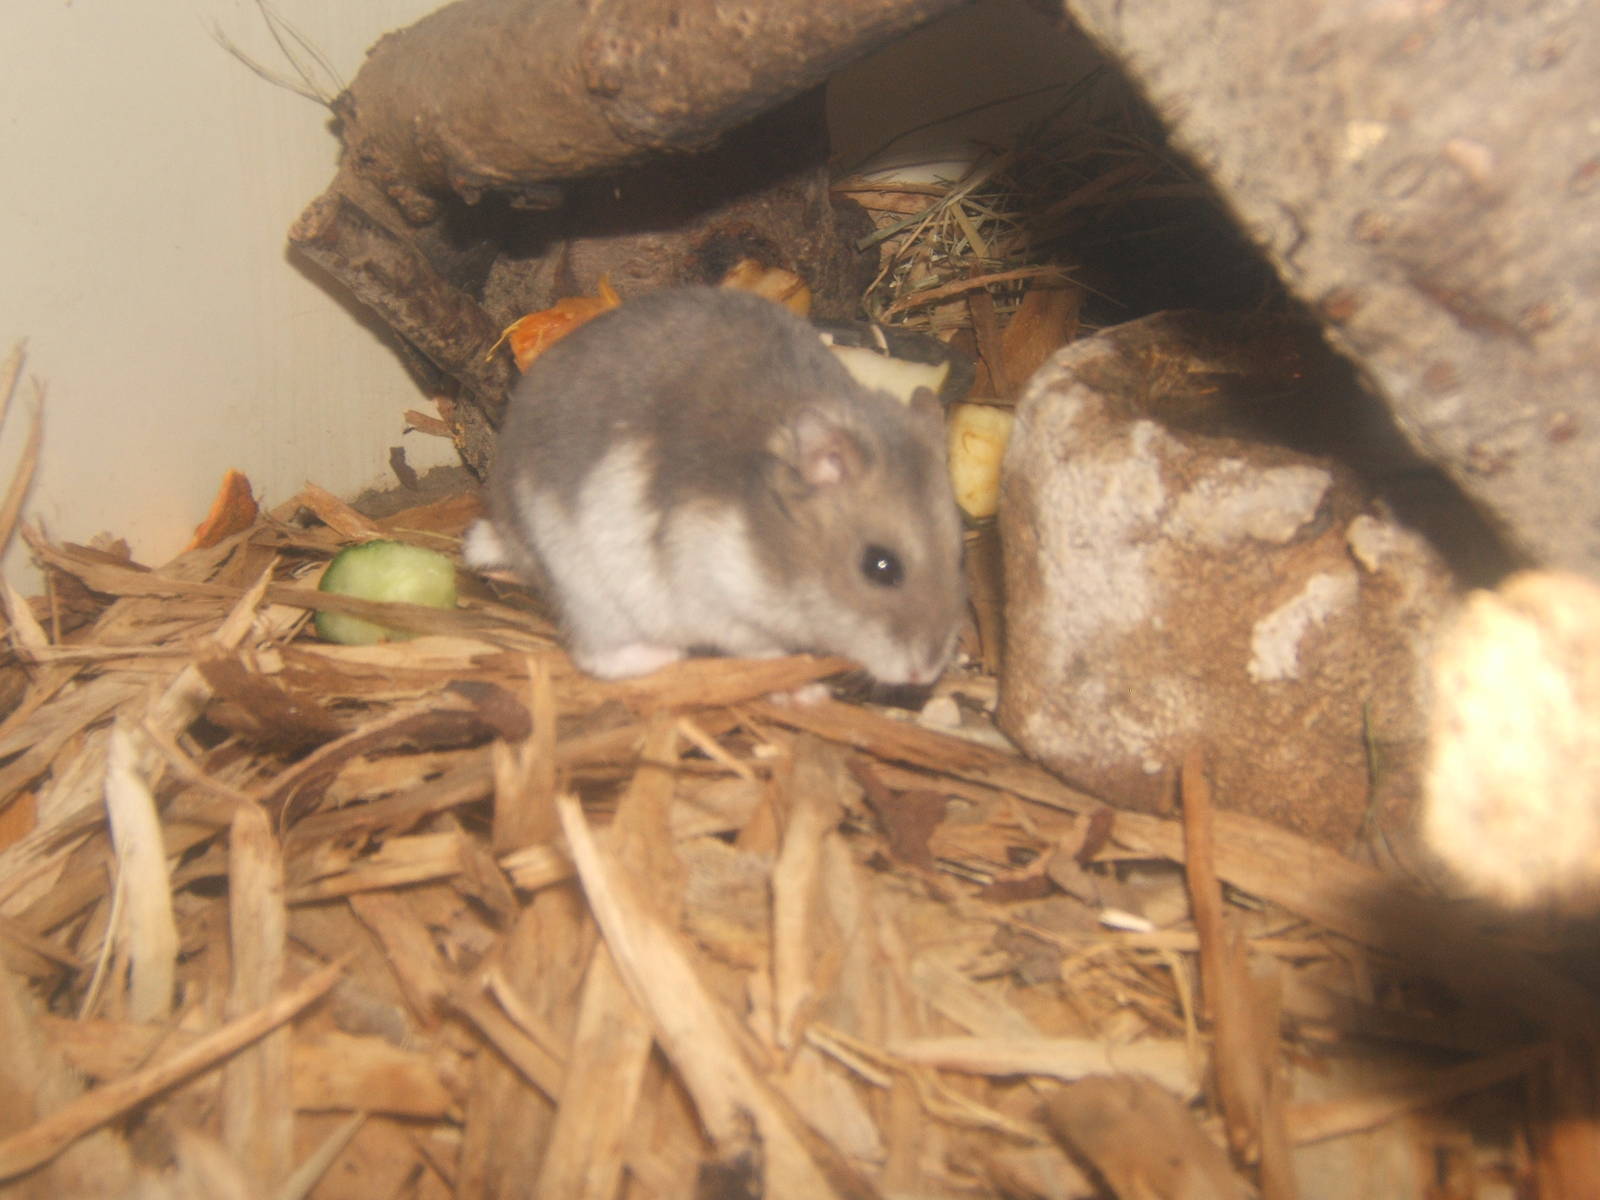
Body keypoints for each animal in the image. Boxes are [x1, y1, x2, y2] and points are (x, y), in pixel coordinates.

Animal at [465, 286, 967, 686]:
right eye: (880, 566)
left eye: (959, 554)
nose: (926, 674)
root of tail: (507, 532)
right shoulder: (717, 602)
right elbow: (765, 653)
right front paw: (804, 690)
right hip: (590, 592)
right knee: (594, 656)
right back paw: (666, 655)